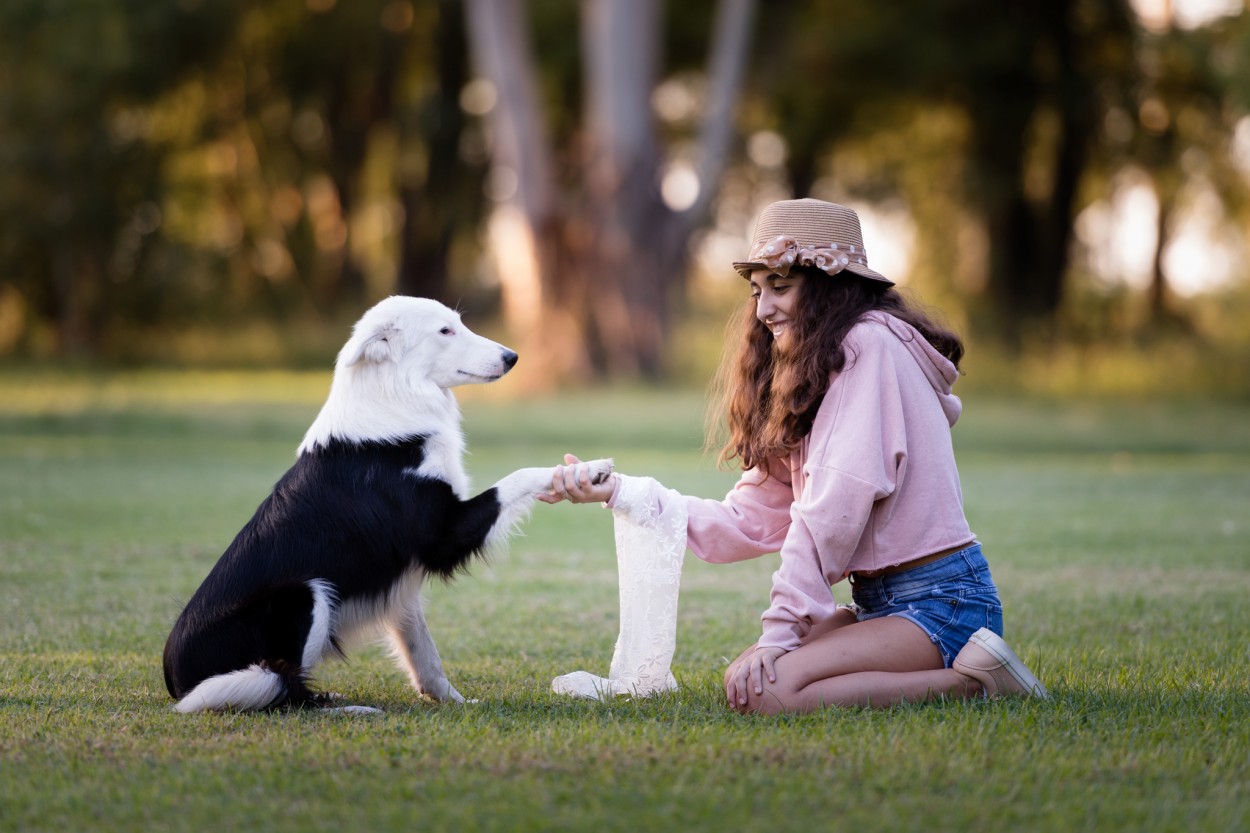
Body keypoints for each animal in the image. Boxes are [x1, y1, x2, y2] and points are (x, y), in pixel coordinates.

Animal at [163, 295, 612, 710]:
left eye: (459, 323)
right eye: (445, 331)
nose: (512, 357)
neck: (396, 395)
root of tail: (178, 682)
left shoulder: (403, 581)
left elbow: (424, 653)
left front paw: (454, 702)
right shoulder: (443, 535)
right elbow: (516, 477)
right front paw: (585, 471)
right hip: (304, 593)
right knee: (285, 691)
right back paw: (348, 709)